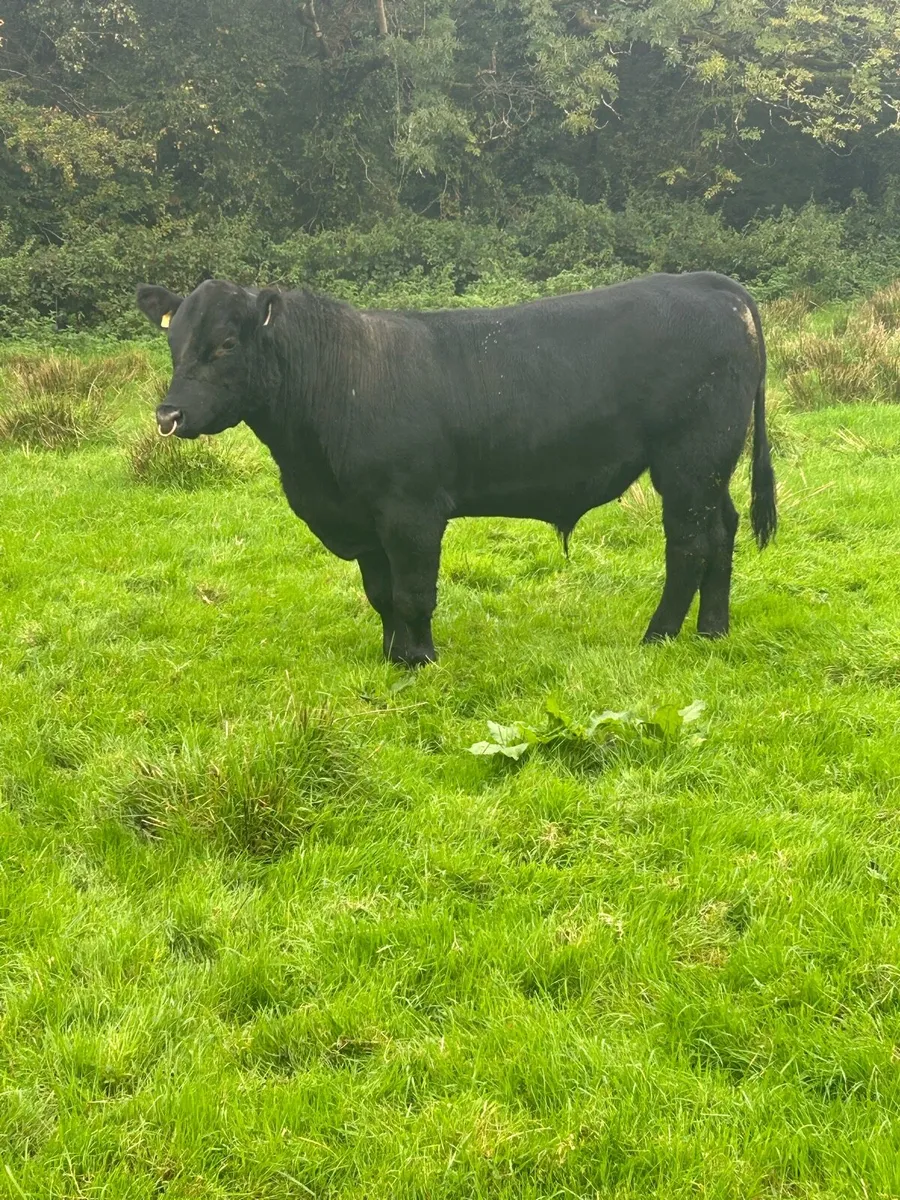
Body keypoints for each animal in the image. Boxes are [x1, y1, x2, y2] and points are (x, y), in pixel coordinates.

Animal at [136, 271, 776, 666]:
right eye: (173, 344)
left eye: (225, 344)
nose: (169, 414)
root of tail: (708, 282)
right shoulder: (364, 520)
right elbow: (382, 593)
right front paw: (393, 657)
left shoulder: (411, 511)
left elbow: (415, 592)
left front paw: (421, 659)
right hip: (711, 465)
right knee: (722, 532)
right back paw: (713, 629)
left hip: (689, 460)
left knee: (689, 545)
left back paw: (658, 636)